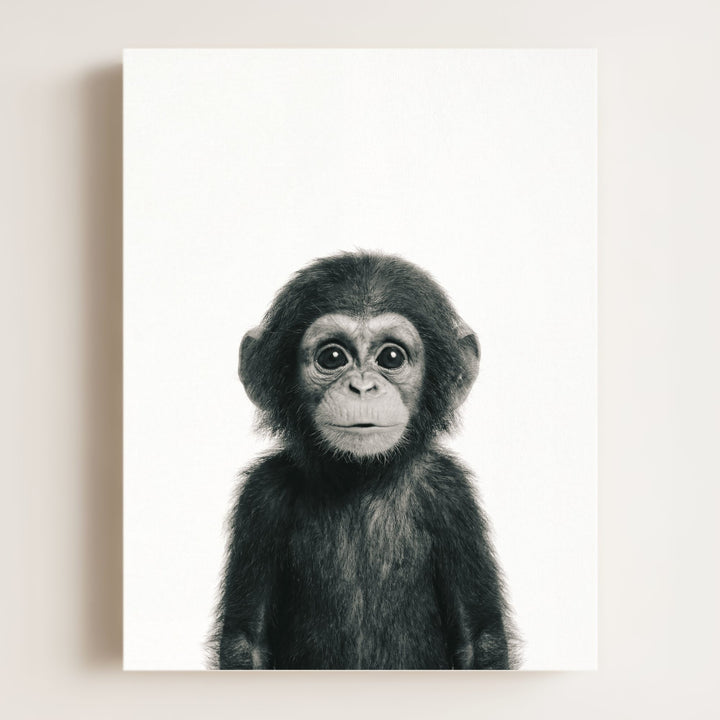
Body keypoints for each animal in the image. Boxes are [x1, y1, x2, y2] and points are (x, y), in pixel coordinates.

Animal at [210, 251, 520, 670]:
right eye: (332, 357)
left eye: (391, 356)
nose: (362, 386)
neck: (360, 477)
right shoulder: (261, 497)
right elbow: (246, 641)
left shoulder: (452, 496)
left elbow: (480, 640)